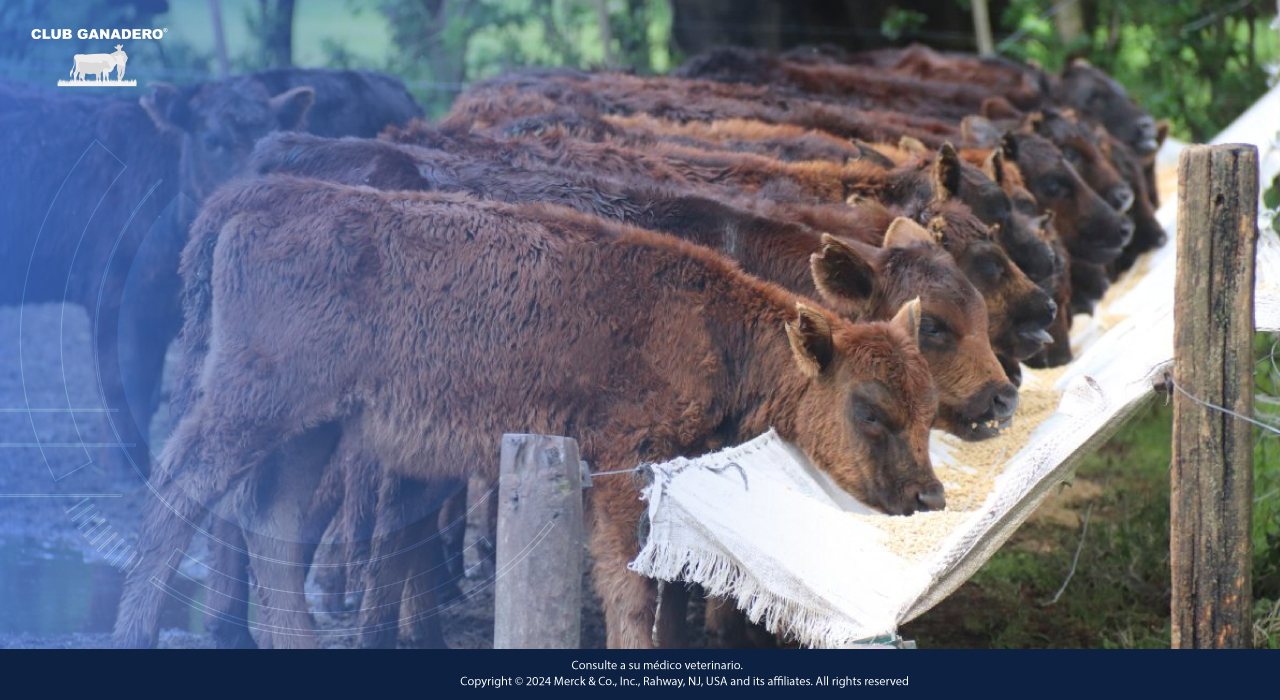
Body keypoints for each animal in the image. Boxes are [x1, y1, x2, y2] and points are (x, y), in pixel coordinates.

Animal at [117, 177, 942, 650]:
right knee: (177, 495)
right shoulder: (623, 461)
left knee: (276, 526)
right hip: (250, 406)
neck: (713, 327)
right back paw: (132, 630)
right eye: (871, 409)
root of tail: (258, 198)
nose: (929, 495)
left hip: (312, 427)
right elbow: (633, 586)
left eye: (927, 406)